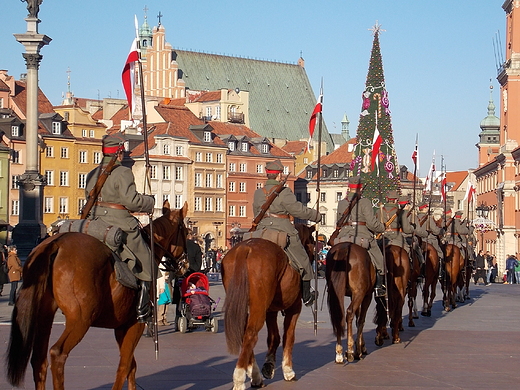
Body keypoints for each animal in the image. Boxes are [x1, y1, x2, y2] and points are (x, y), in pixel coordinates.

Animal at [6, 201, 189, 390]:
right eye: (186, 232)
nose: (185, 264)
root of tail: (55, 243)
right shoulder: (135, 324)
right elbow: (124, 365)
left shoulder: (121, 326)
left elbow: (131, 365)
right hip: (80, 319)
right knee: (57, 354)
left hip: (45, 314)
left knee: (39, 360)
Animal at [222, 224, 314, 388]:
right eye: (313, 243)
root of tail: (245, 248)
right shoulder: (294, 307)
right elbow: (288, 336)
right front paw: (288, 370)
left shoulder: (270, 310)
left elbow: (273, 337)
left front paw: (269, 366)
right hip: (259, 307)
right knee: (250, 334)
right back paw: (239, 379)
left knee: (245, 334)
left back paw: (255, 376)